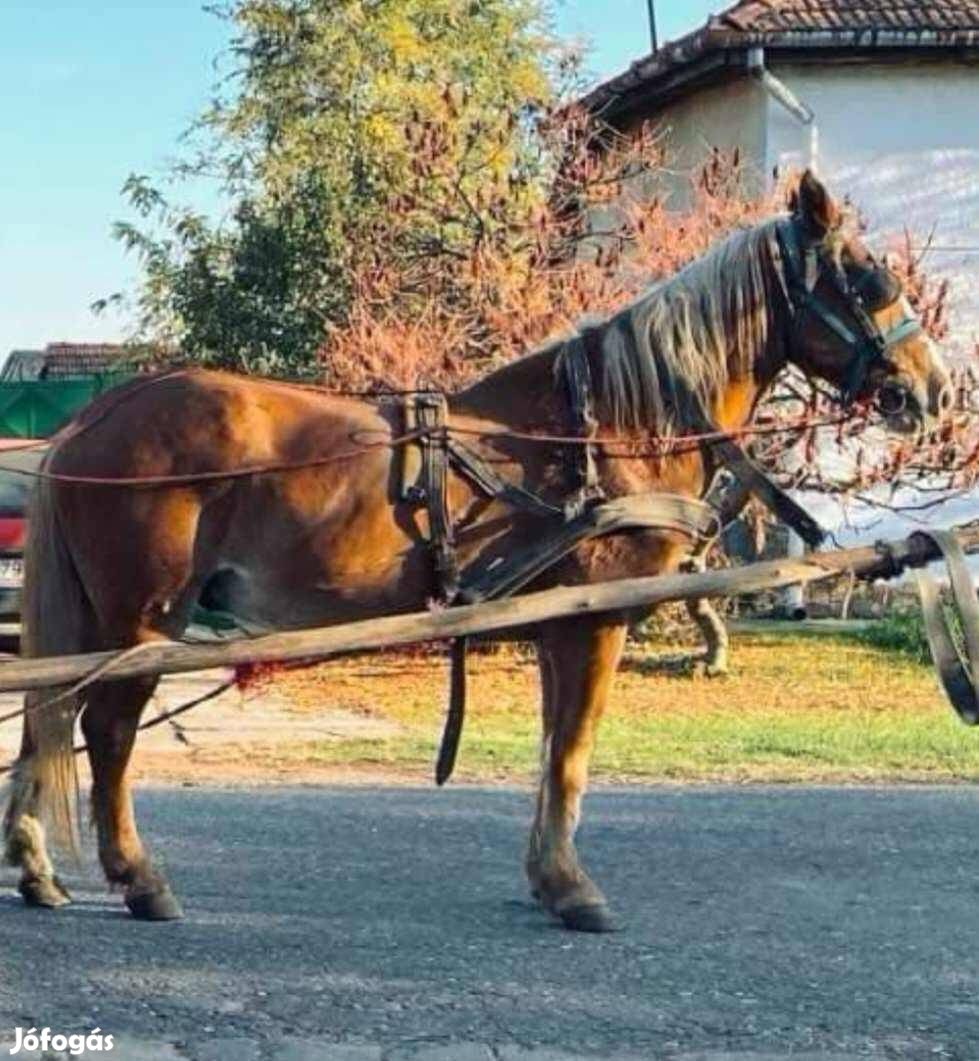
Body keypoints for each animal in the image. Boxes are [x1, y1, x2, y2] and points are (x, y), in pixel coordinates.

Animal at [0, 171, 950, 929]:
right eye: (868, 277)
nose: (933, 388)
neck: (604, 428)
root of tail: (97, 416)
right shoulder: (592, 620)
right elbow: (571, 752)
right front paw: (570, 887)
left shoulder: (562, 621)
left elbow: (554, 748)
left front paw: (546, 875)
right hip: (143, 618)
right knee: (106, 729)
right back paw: (137, 876)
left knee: (51, 716)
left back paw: (38, 863)